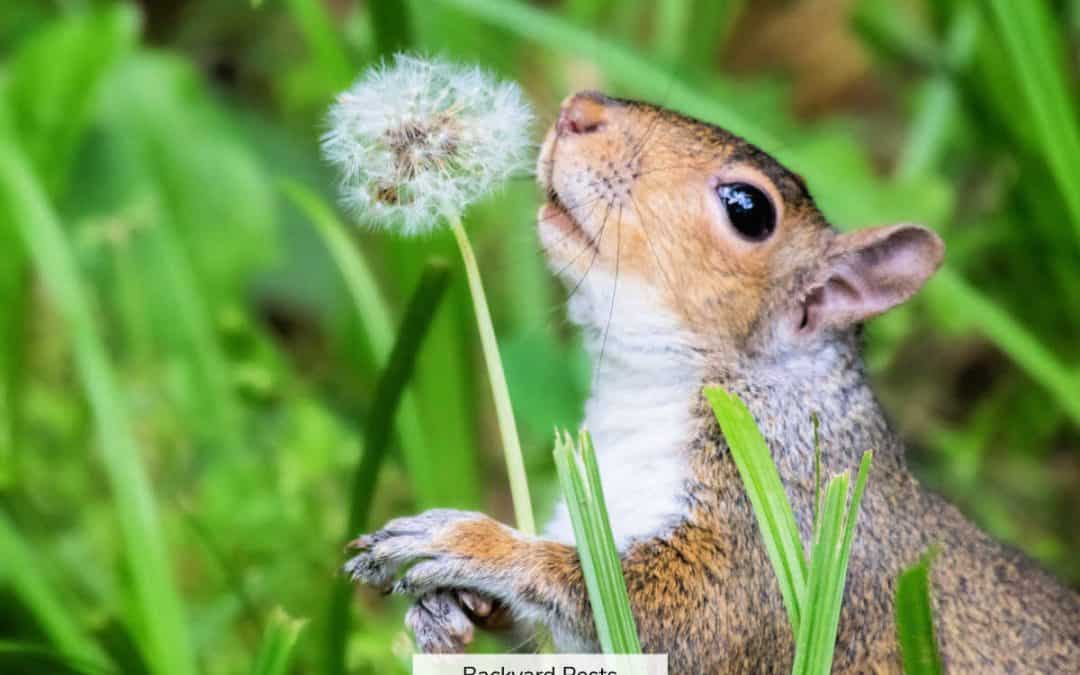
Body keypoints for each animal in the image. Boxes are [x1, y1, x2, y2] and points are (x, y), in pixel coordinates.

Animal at [344, 91, 1080, 673]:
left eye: (749, 209)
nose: (580, 109)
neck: (649, 393)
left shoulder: (784, 542)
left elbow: (654, 611)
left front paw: (468, 542)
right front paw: (446, 614)